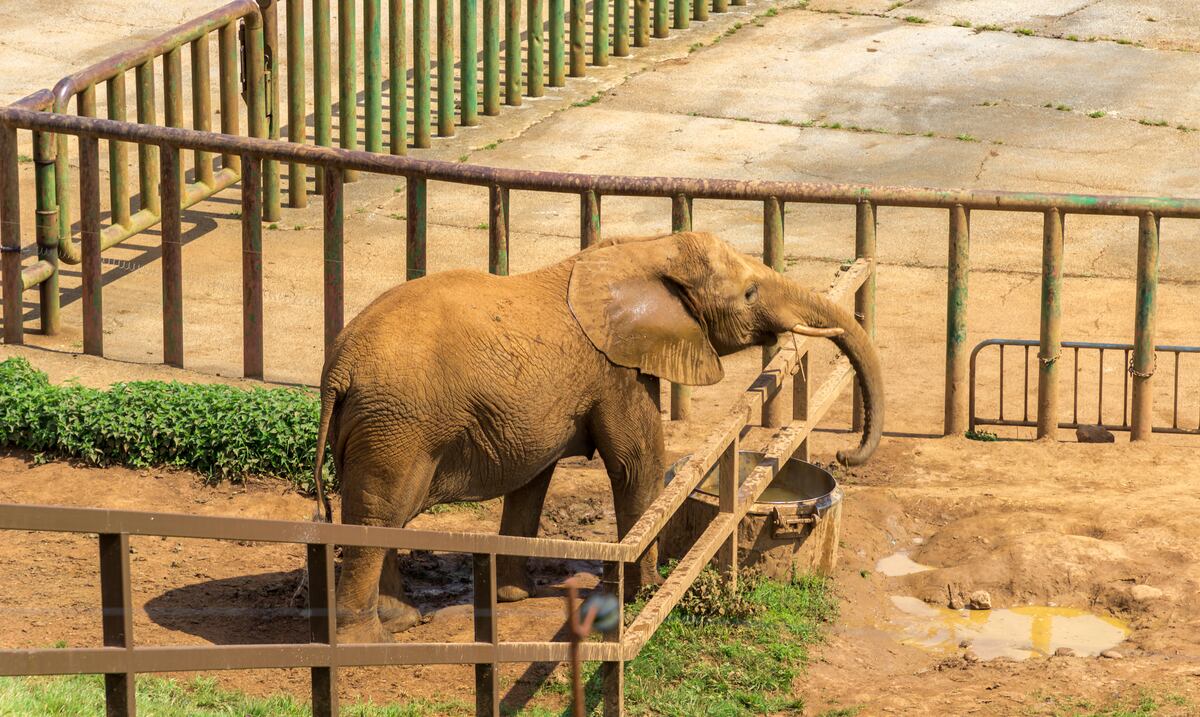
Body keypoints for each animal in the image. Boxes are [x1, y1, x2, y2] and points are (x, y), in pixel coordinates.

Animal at [311, 231, 884, 643]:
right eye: (748, 293)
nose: (846, 454)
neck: (643, 249)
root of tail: (338, 369)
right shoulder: (616, 370)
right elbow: (638, 463)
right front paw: (646, 592)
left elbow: (535, 480)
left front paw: (515, 596)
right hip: (397, 426)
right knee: (381, 512)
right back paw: (368, 640)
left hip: (378, 426)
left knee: (382, 514)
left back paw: (401, 620)